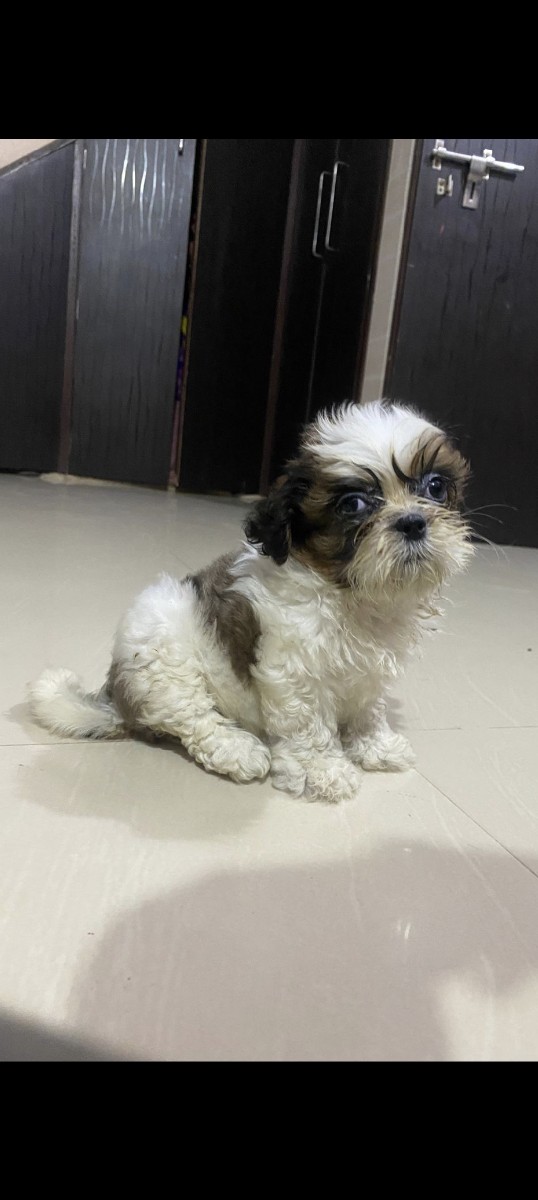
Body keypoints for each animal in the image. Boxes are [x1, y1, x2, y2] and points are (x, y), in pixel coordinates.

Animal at [29, 400, 472, 803]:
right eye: (353, 505)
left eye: (435, 487)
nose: (413, 522)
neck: (350, 596)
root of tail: (117, 696)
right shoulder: (293, 672)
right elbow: (308, 724)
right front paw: (321, 770)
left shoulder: (369, 672)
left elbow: (368, 708)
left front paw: (374, 745)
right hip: (160, 653)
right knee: (190, 716)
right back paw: (235, 749)